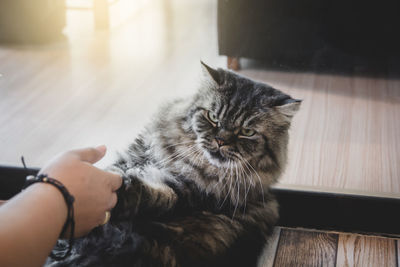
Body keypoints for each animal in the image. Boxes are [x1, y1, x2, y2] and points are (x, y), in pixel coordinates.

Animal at [47, 62, 300, 267]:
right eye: (213, 117)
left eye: (247, 132)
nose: (221, 140)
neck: (190, 163)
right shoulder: (136, 154)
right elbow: (117, 169)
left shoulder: (189, 193)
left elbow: (155, 195)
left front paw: (123, 191)